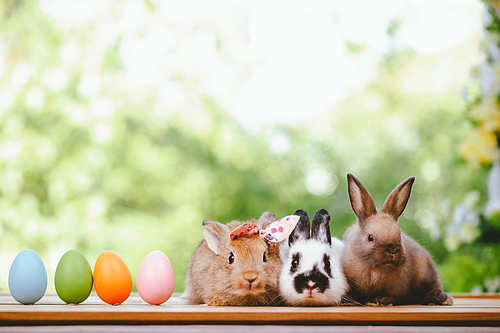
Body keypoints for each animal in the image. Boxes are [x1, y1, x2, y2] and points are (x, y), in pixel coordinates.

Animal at [344, 174, 454, 306]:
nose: (392, 250)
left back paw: (441, 298)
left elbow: (394, 297)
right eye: (370, 238)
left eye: (399, 235)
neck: (377, 269)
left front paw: (382, 300)